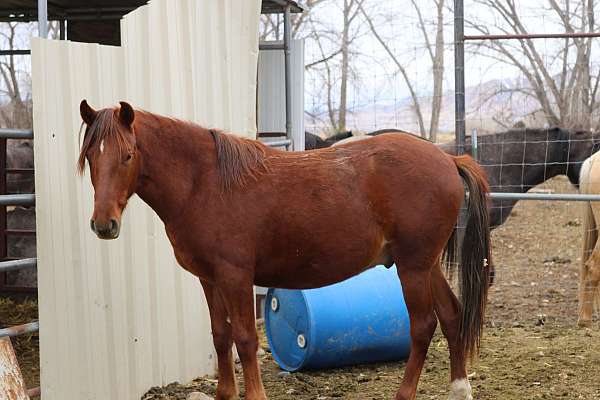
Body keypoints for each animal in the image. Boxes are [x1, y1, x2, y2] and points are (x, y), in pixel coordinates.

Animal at [77, 101, 490, 400]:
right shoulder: (209, 280)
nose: (104, 224)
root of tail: (448, 159)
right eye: (92, 157)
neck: (205, 183)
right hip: (424, 264)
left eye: (128, 155)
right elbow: (220, 336)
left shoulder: (235, 277)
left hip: (413, 267)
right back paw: (460, 389)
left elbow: (245, 339)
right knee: (452, 315)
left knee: (423, 326)